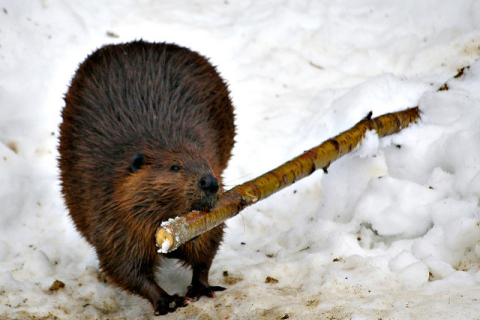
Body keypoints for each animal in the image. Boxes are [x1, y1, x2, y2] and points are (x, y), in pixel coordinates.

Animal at [58, 39, 236, 316]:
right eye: (174, 167)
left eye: (209, 165)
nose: (210, 182)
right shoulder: (110, 211)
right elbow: (123, 264)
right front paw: (167, 301)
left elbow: (208, 243)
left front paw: (200, 287)